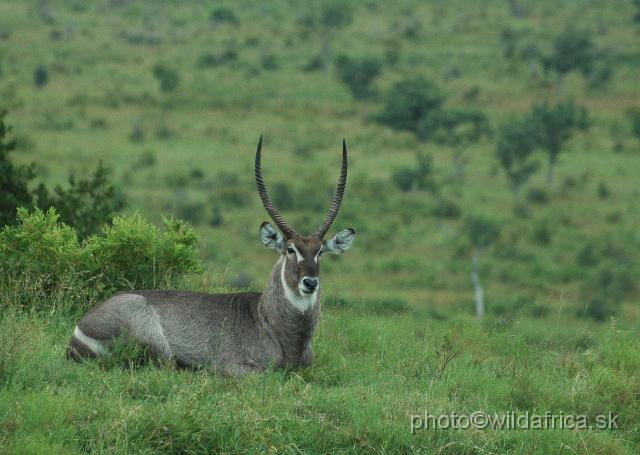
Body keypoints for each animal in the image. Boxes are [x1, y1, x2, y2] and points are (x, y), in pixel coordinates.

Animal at [68, 136, 358, 378]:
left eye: (320, 251)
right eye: (290, 249)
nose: (310, 282)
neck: (270, 323)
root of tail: (79, 328)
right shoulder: (236, 367)